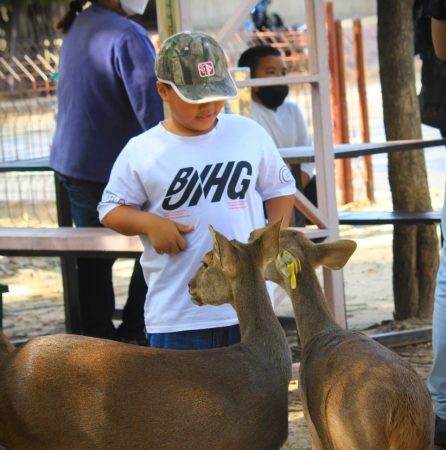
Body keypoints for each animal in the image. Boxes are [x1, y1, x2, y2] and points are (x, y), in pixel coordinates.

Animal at [251, 227, 436, 450]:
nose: (251, 233)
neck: (316, 333)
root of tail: (403, 409)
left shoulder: (314, 427)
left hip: (357, 436)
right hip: (424, 438)